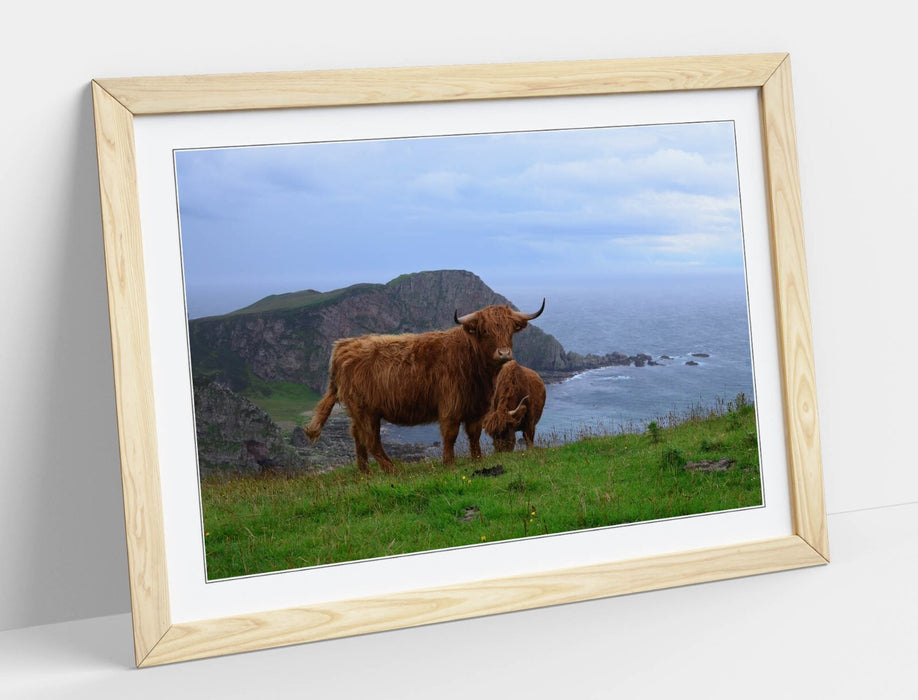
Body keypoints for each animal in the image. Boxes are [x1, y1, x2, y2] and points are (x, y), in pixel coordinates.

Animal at [304, 300, 545, 473]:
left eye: (510, 329)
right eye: (485, 331)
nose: (504, 353)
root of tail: (343, 346)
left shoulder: (477, 408)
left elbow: (474, 435)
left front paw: (478, 460)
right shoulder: (450, 406)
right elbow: (450, 435)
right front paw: (449, 463)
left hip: (358, 411)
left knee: (357, 436)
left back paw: (365, 472)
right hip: (366, 410)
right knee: (370, 439)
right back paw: (393, 470)